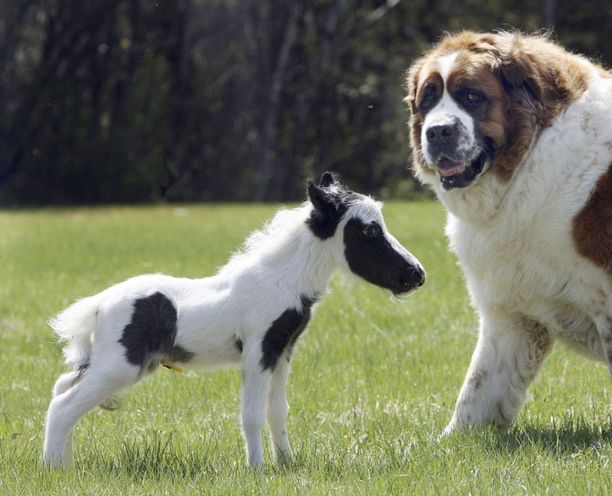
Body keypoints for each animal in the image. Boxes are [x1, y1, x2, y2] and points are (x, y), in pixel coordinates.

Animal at [44, 172, 426, 466]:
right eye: (368, 232)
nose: (416, 274)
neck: (281, 280)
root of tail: (98, 304)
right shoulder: (257, 352)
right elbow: (252, 415)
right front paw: (256, 469)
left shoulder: (283, 352)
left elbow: (278, 410)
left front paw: (287, 464)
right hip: (120, 366)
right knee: (63, 406)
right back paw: (53, 469)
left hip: (112, 362)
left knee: (62, 387)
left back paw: (66, 463)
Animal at [406, 32, 612, 434]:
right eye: (427, 99)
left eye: (473, 97)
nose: (437, 131)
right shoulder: (511, 315)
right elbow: (478, 389)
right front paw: (450, 442)